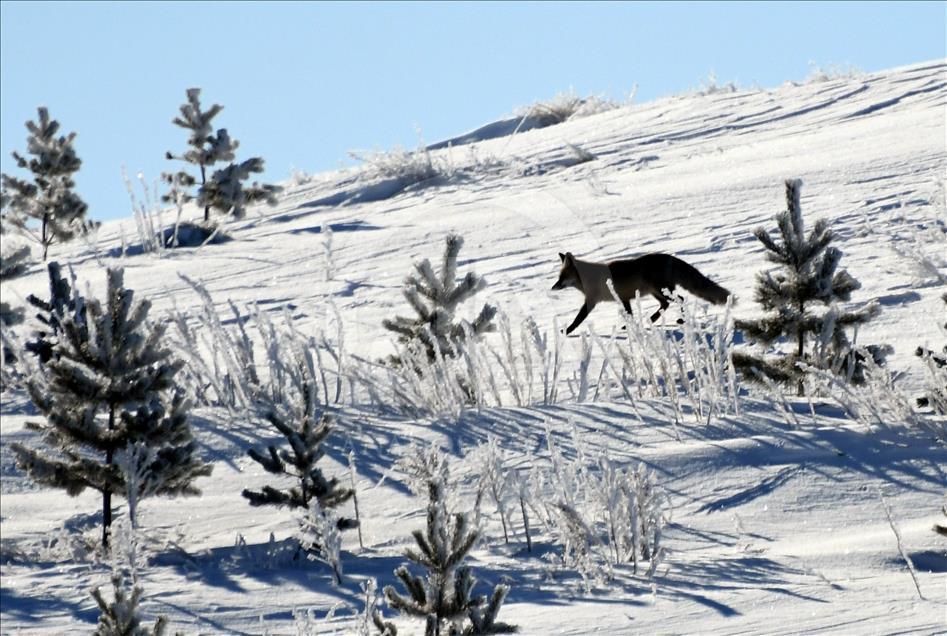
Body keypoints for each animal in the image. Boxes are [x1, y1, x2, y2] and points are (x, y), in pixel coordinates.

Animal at [552, 251, 728, 336]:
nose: (553, 287)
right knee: (666, 304)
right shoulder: (624, 298)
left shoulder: (592, 302)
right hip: (655, 292)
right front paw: (632, 327)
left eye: (562, 278)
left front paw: (567, 331)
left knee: (680, 299)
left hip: (661, 290)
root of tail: (670, 257)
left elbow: (578, 319)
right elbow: (629, 315)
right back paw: (652, 319)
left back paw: (681, 320)